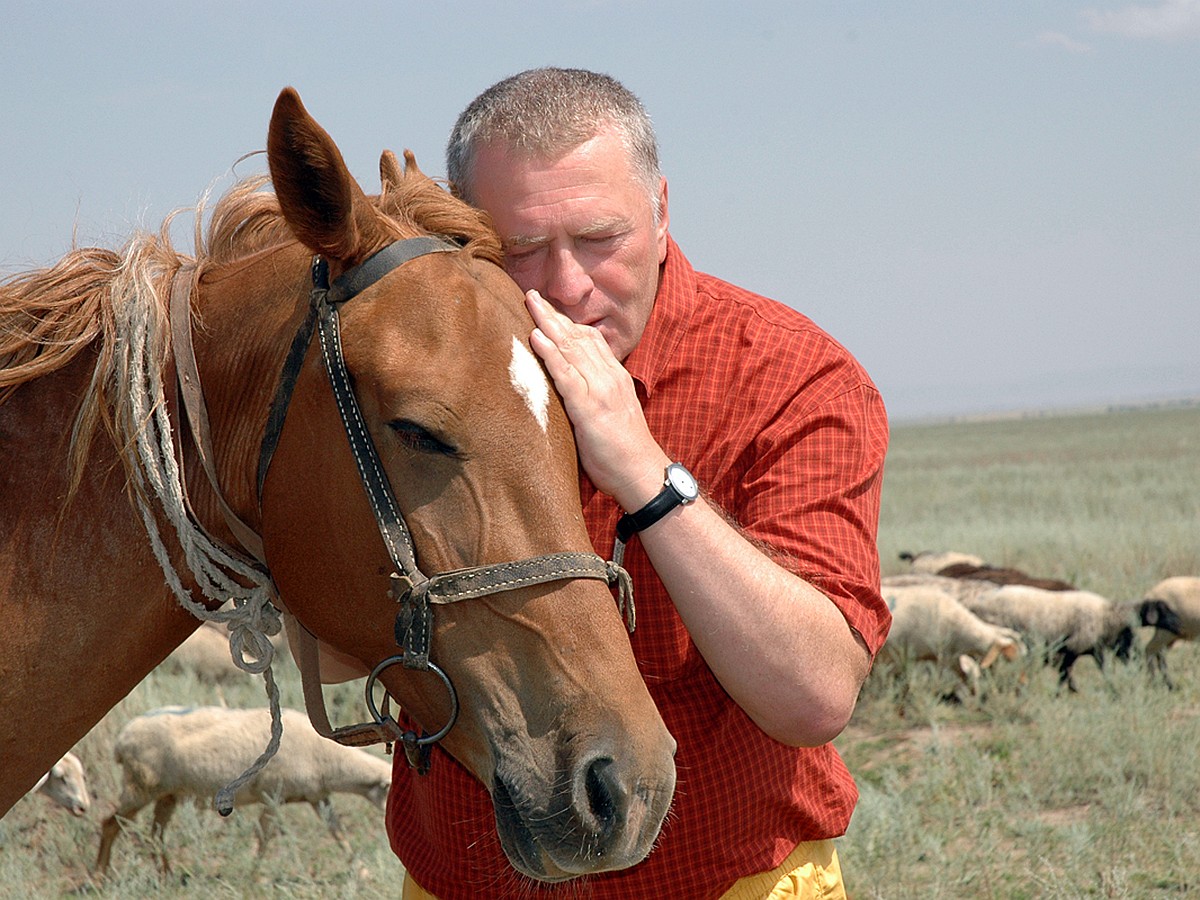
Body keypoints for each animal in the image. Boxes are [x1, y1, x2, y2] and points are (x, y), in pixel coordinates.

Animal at [97, 710, 393, 878]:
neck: (327, 759)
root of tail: (121, 740)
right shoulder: (273, 796)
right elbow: (263, 838)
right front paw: (253, 876)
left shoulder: (317, 797)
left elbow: (338, 833)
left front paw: (362, 872)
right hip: (140, 787)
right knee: (110, 824)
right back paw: (100, 875)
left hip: (167, 794)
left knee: (155, 834)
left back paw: (167, 876)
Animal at [955, 580, 1132, 696]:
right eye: (1128, 637)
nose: (1133, 661)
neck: (1106, 619)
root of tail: (974, 603)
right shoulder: (1073, 648)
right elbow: (1067, 672)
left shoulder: (1078, 650)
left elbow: (1071, 671)